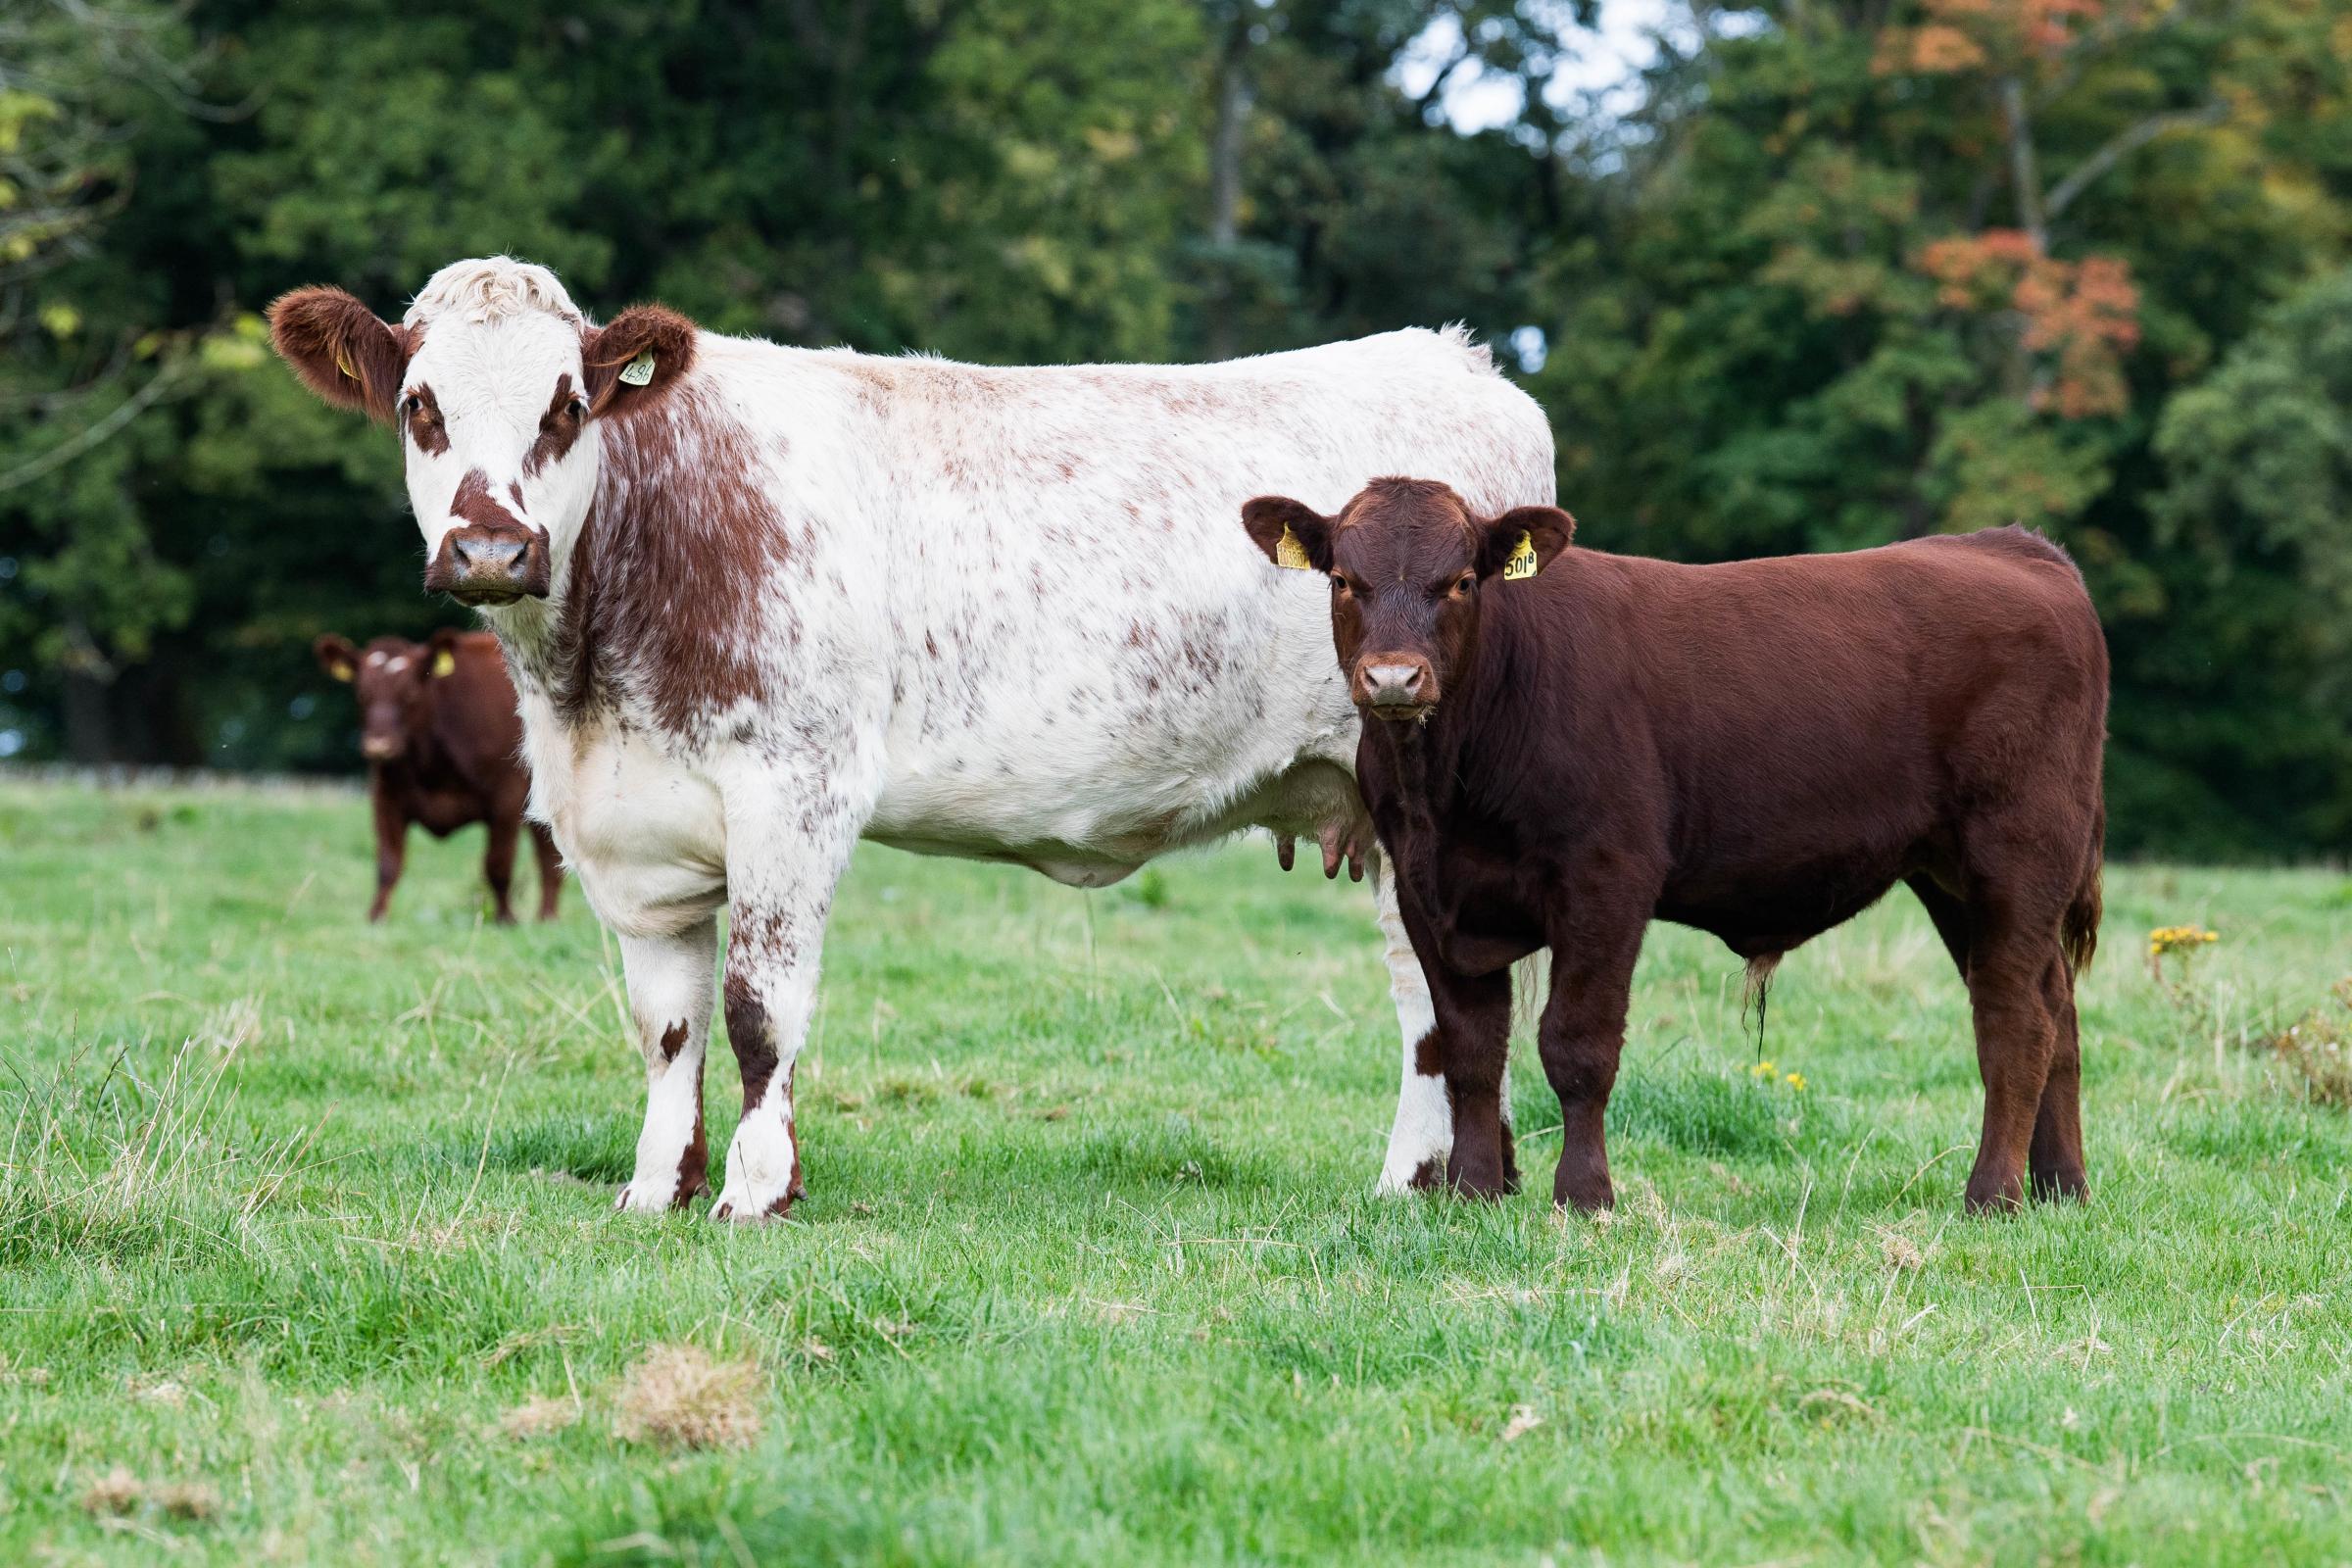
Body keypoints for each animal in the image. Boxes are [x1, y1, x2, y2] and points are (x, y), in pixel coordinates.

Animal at [313, 625, 560, 921]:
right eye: (362, 693)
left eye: (409, 693)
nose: (379, 746)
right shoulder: (385, 798)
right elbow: (388, 864)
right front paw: (376, 917)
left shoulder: (506, 798)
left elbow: (497, 865)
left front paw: (506, 919)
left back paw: (548, 917)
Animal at [1250, 479, 2117, 1212]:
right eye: (1343, 580)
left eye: (1462, 581)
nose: (1395, 679)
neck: (1448, 787)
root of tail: (2012, 547)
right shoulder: (1430, 892)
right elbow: (1468, 1049)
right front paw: (1472, 1191)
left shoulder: (1606, 880)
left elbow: (1576, 1045)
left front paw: (1585, 1195)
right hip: (1953, 877)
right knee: (2058, 1011)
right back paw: (2062, 1186)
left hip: (2019, 852)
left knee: (2014, 1020)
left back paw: (1993, 1192)